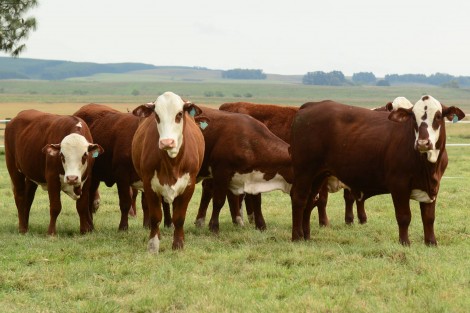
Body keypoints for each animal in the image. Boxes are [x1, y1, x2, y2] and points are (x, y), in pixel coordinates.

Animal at [132, 90, 206, 251]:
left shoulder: (189, 186)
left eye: (179, 114)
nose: (167, 142)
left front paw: (178, 244)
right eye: (156, 115)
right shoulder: (149, 185)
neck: (172, 162)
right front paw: (153, 245)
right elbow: (155, 216)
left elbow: (179, 217)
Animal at [288, 95, 464, 244]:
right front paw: (404, 242)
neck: (427, 166)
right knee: (299, 199)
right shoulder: (399, 184)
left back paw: (306, 235)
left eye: (438, 116)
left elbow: (429, 217)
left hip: (318, 175)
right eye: (414, 117)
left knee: (310, 200)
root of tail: (311, 105)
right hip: (304, 171)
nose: (423, 142)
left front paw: (431, 242)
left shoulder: (433, 187)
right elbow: (404, 216)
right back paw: (297, 236)